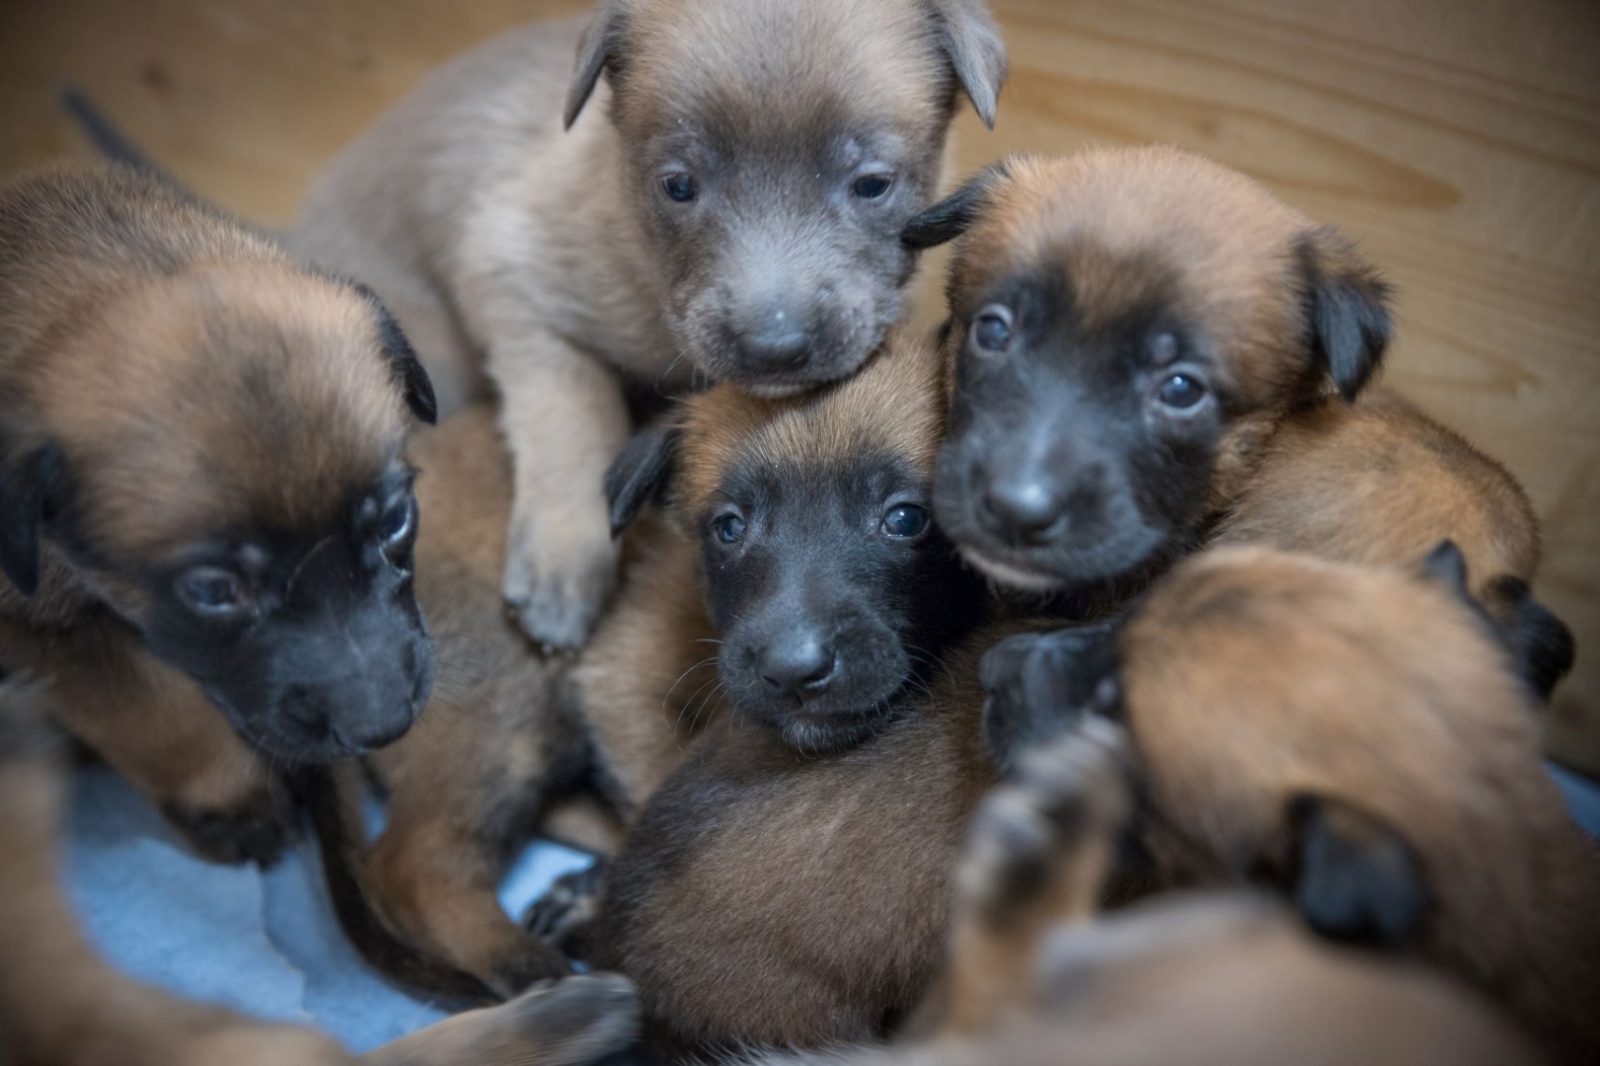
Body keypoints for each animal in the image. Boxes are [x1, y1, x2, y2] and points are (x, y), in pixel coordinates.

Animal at [0, 168, 438, 864]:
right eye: (212, 591)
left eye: (395, 520)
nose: (385, 723)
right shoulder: (42, 631)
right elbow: (154, 711)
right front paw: (235, 800)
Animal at [288, 0, 1004, 646]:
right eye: (677, 186)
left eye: (874, 184)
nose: (774, 346)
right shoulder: (513, 277)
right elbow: (575, 411)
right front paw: (565, 560)